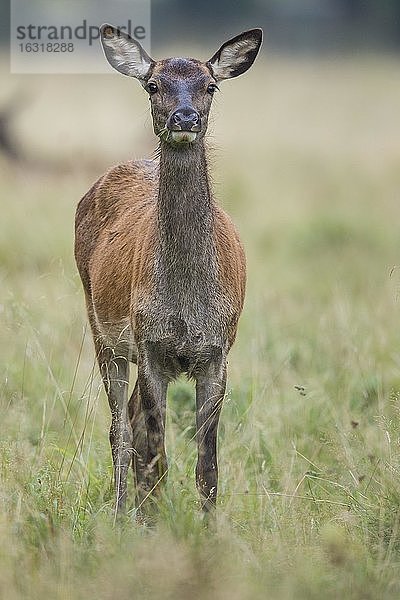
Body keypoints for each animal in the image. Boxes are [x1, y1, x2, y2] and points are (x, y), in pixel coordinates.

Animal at [74, 25, 262, 516]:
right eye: (153, 85)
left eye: (210, 86)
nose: (184, 117)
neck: (185, 305)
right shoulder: (150, 345)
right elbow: (156, 449)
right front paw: (153, 521)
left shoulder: (218, 351)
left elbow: (207, 464)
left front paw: (209, 525)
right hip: (102, 329)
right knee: (121, 429)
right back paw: (122, 510)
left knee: (132, 421)